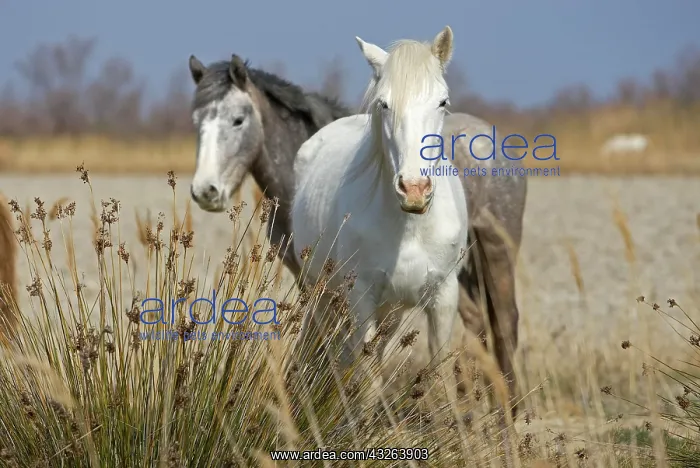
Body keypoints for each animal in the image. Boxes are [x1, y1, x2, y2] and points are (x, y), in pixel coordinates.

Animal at [290, 26, 468, 410]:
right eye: (384, 104)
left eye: (443, 102)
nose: (414, 189)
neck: (411, 228)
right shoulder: (362, 297)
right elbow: (367, 383)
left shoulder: (444, 297)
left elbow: (441, 378)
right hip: (321, 293)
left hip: (393, 309)